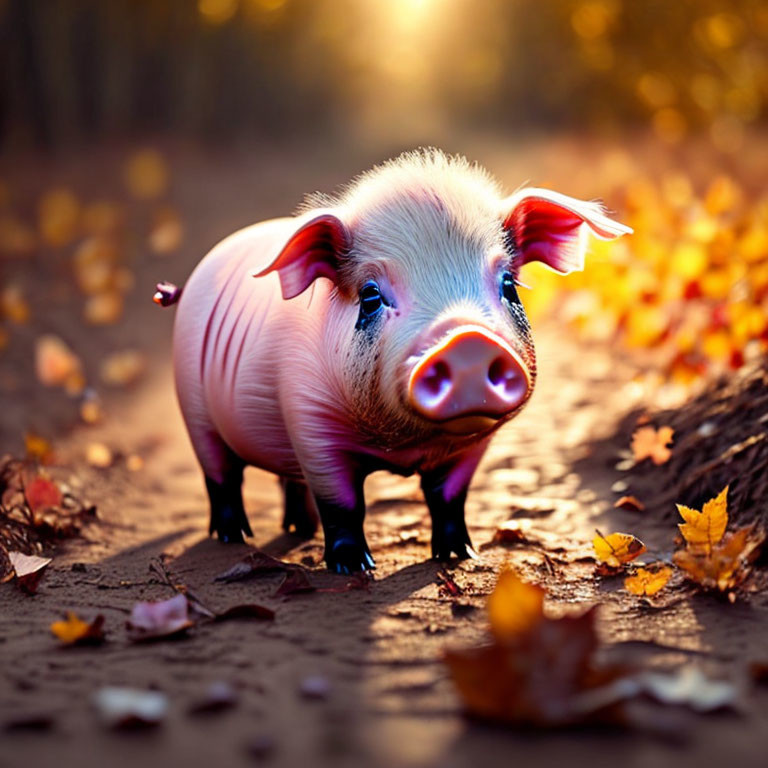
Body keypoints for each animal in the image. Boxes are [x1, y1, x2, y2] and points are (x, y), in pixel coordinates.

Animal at [170, 150, 632, 568]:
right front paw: (354, 567)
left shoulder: (474, 443)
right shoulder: (309, 420)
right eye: (371, 295)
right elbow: (343, 504)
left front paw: (460, 556)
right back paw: (233, 537)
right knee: (221, 477)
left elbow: (448, 498)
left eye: (509, 285)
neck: (403, 446)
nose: (467, 341)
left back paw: (299, 530)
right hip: (194, 411)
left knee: (288, 479)